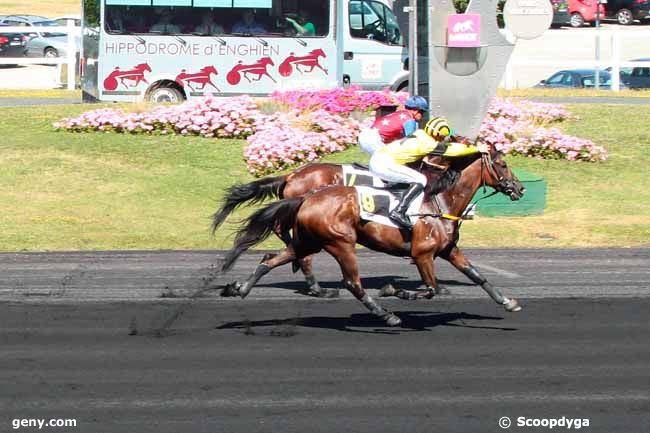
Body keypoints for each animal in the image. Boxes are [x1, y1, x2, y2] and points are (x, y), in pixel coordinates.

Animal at [220, 148, 524, 324]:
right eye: (502, 164)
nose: (519, 188)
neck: (440, 201)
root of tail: (305, 191)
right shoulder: (422, 254)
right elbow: (430, 288)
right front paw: (394, 290)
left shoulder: (449, 250)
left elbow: (477, 276)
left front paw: (507, 302)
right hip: (340, 243)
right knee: (352, 283)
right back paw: (384, 314)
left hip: (309, 241)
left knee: (272, 259)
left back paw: (240, 288)